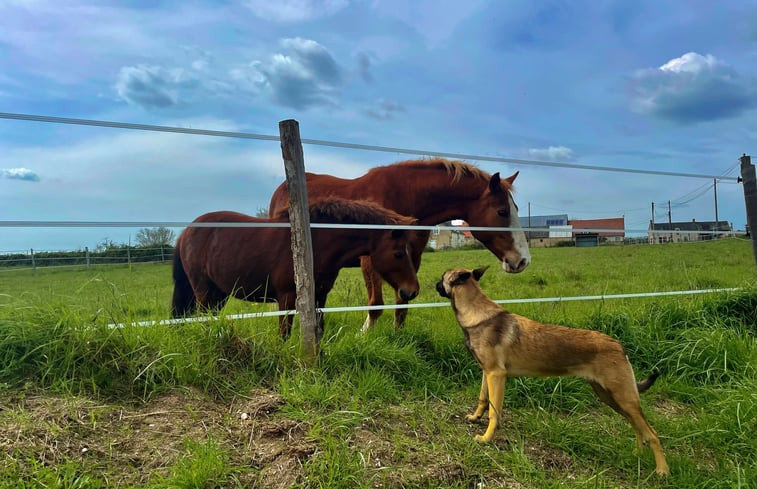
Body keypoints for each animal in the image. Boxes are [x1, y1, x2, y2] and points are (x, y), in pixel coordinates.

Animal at [171, 196, 420, 338]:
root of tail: (186, 232)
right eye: (398, 253)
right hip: (204, 292)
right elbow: (285, 334)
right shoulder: (287, 297)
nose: (412, 291)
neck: (313, 241)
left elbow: (319, 330)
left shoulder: (320, 296)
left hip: (219, 294)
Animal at [268, 158, 528, 334]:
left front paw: (398, 337)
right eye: (502, 212)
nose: (523, 260)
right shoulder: (371, 260)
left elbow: (402, 305)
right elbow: (376, 305)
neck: (405, 198)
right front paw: (364, 336)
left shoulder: (410, 260)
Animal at [434, 264, 672, 474]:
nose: (433, 283)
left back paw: (662, 470)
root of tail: (618, 345)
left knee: (652, 433)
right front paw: (475, 418)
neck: (475, 311)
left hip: (623, 397)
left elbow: (494, 412)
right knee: (637, 428)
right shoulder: (488, 373)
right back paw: (637, 455)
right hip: (610, 397)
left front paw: (486, 438)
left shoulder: (497, 375)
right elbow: (483, 400)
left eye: (443, 277)